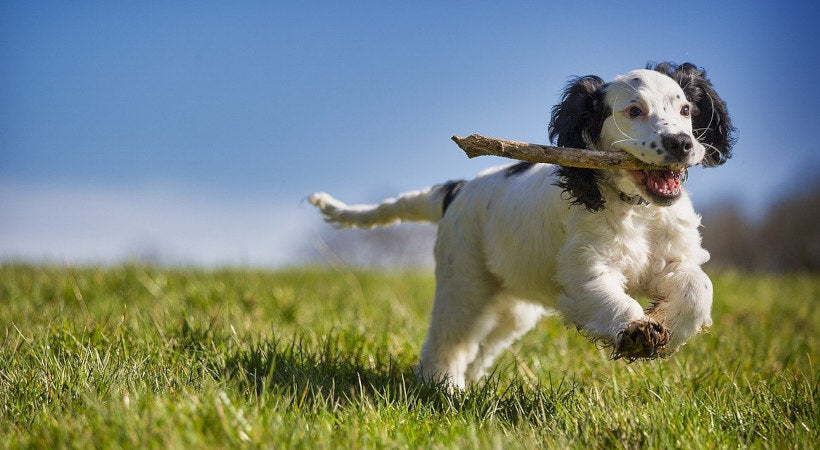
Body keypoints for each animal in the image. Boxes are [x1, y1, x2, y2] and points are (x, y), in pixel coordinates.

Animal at [310, 61, 736, 388]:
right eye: (634, 111)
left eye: (686, 111)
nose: (682, 144)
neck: (637, 209)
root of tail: (457, 188)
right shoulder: (585, 268)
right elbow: (608, 296)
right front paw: (636, 331)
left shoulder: (674, 258)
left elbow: (699, 287)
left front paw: (668, 327)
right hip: (464, 283)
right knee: (448, 341)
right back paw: (443, 388)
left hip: (513, 307)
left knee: (481, 347)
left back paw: (467, 386)